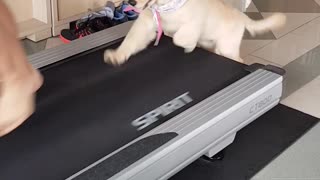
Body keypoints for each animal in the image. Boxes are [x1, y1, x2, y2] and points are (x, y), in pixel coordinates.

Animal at [104, 0, 286, 65]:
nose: (131, 2)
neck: (164, 6)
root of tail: (242, 16)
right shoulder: (144, 26)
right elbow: (130, 41)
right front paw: (116, 56)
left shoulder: (193, 23)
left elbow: (178, 38)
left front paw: (190, 46)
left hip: (227, 47)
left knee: (238, 59)